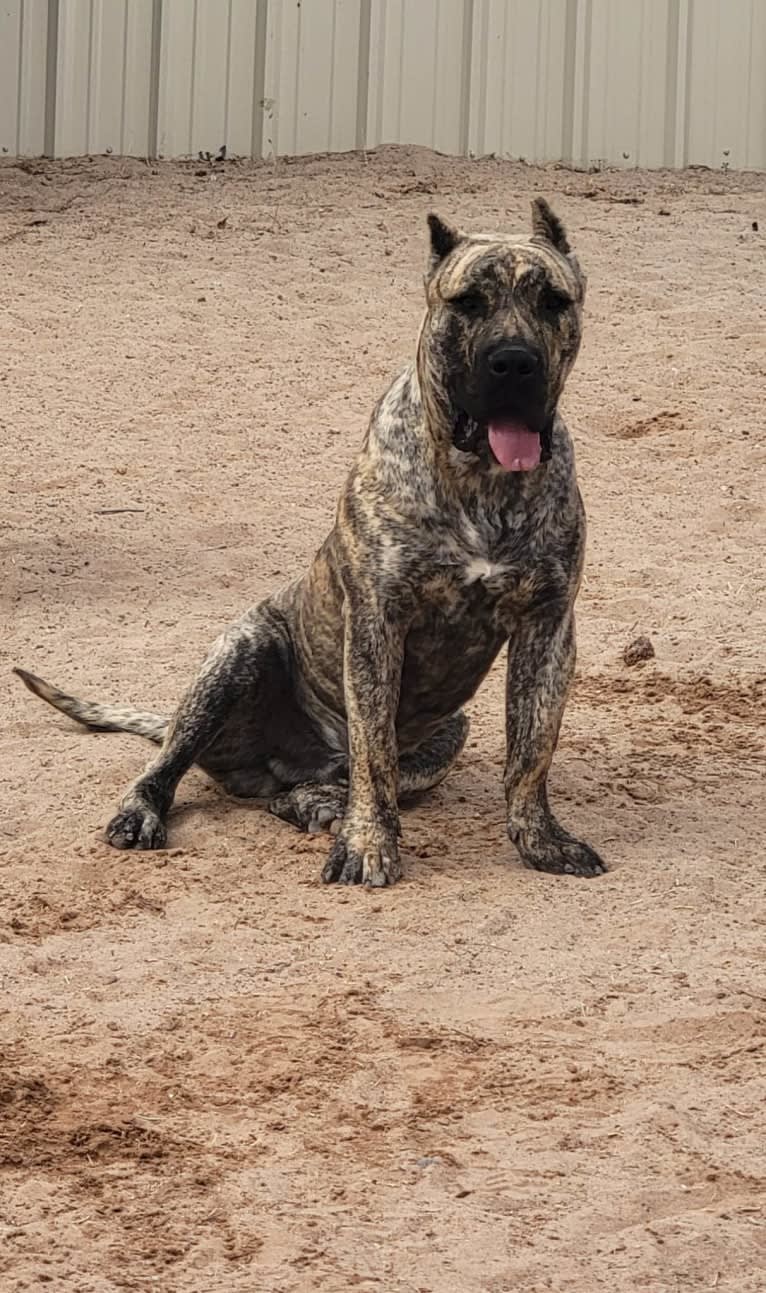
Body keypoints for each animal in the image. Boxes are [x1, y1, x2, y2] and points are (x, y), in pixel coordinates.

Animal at [14, 199, 608, 889]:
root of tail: (290, 763)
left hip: (448, 727)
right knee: (171, 764)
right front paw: (368, 847)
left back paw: (315, 801)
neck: (481, 481)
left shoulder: (548, 626)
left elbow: (530, 753)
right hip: (238, 656)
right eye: (468, 302)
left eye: (552, 301)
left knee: (335, 783)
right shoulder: (378, 620)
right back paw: (149, 811)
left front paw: (541, 841)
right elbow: (374, 754)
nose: (514, 361)